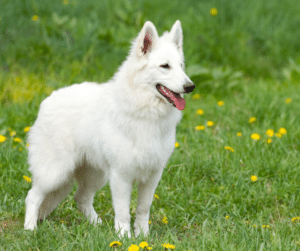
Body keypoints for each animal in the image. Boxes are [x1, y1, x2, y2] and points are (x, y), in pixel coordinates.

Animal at [25, 20, 195, 237]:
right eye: (165, 66)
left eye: (181, 66)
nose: (190, 86)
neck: (145, 112)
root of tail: (47, 101)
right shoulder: (121, 176)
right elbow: (123, 211)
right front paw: (124, 237)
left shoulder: (152, 176)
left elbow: (143, 208)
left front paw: (143, 236)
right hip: (55, 173)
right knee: (32, 196)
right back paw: (30, 228)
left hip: (94, 175)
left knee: (81, 198)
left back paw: (97, 225)